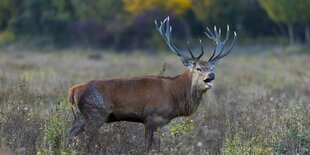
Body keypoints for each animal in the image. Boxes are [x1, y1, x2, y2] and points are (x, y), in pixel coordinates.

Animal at [66, 16, 237, 152]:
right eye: (198, 68)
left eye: (211, 68)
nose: (211, 75)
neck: (174, 94)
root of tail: (72, 91)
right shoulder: (150, 117)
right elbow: (147, 147)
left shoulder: (162, 122)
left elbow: (158, 146)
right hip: (95, 113)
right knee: (84, 141)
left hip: (81, 117)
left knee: (68, 135)